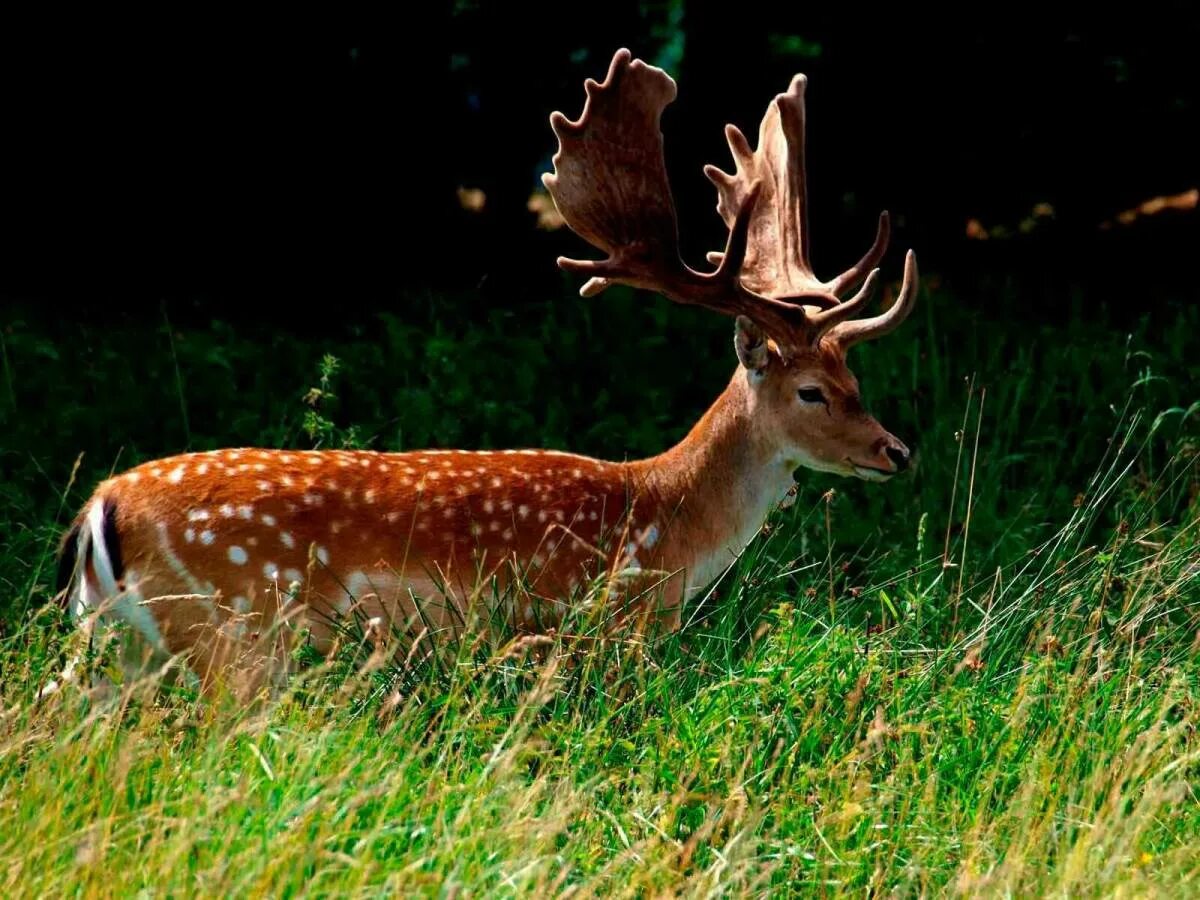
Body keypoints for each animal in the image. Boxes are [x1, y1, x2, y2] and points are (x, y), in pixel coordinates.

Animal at [44, 45, 916, 700]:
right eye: (812, 391)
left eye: (856, 379)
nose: (897, 452)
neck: (665, 521)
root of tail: (102, 507)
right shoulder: (596, 627)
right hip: (237, 627)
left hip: (114, 641)